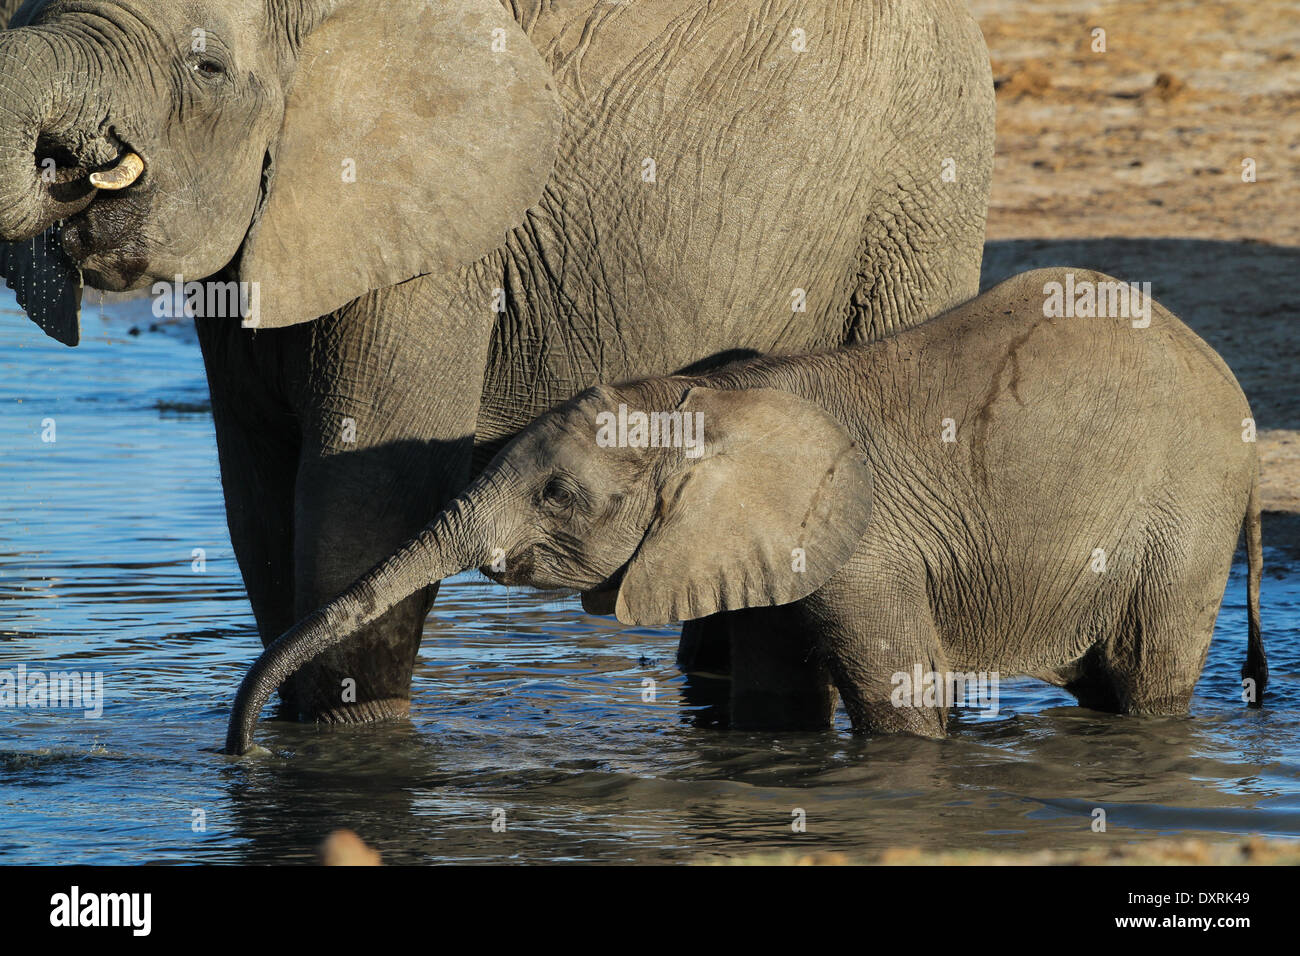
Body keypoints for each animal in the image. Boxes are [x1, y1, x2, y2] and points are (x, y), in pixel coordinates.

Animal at [0, 0, 993, 723]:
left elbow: (366, 497)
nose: (69, 167)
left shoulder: (437, 229)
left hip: (921, 192)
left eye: (205, 68)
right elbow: (256, 498)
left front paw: (347, 750)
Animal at [226, 269, 1268, 754]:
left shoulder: (866, 545)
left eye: (559, 496)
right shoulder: (764, 542)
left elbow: (904, 701)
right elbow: (776, 698)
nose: (238, 755)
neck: (704, 403)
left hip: (1185, 512)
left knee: (1147, 676)